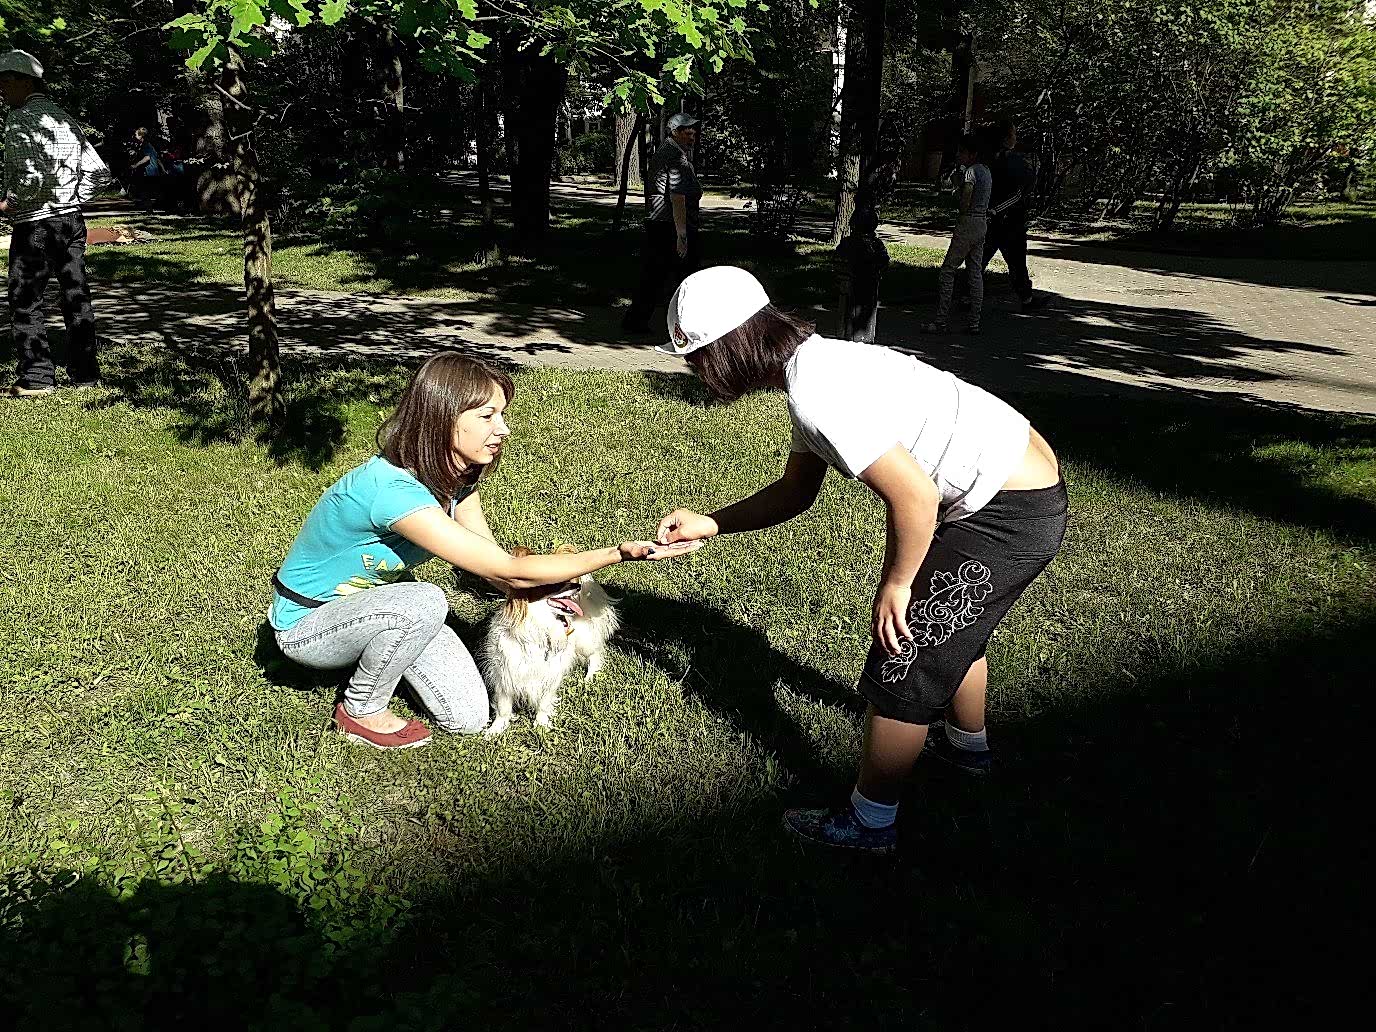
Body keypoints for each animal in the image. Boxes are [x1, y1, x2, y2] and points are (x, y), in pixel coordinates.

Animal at [480, 547, 619, 736]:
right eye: (554, 583)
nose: (577, 586)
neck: (539, 629)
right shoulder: (504, 674)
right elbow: (503, 707)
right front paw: (496, 729)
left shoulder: (551, 674)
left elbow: (544, 703)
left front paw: (541, 724)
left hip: (584, 642)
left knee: (596, 653)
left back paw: (589, 677)